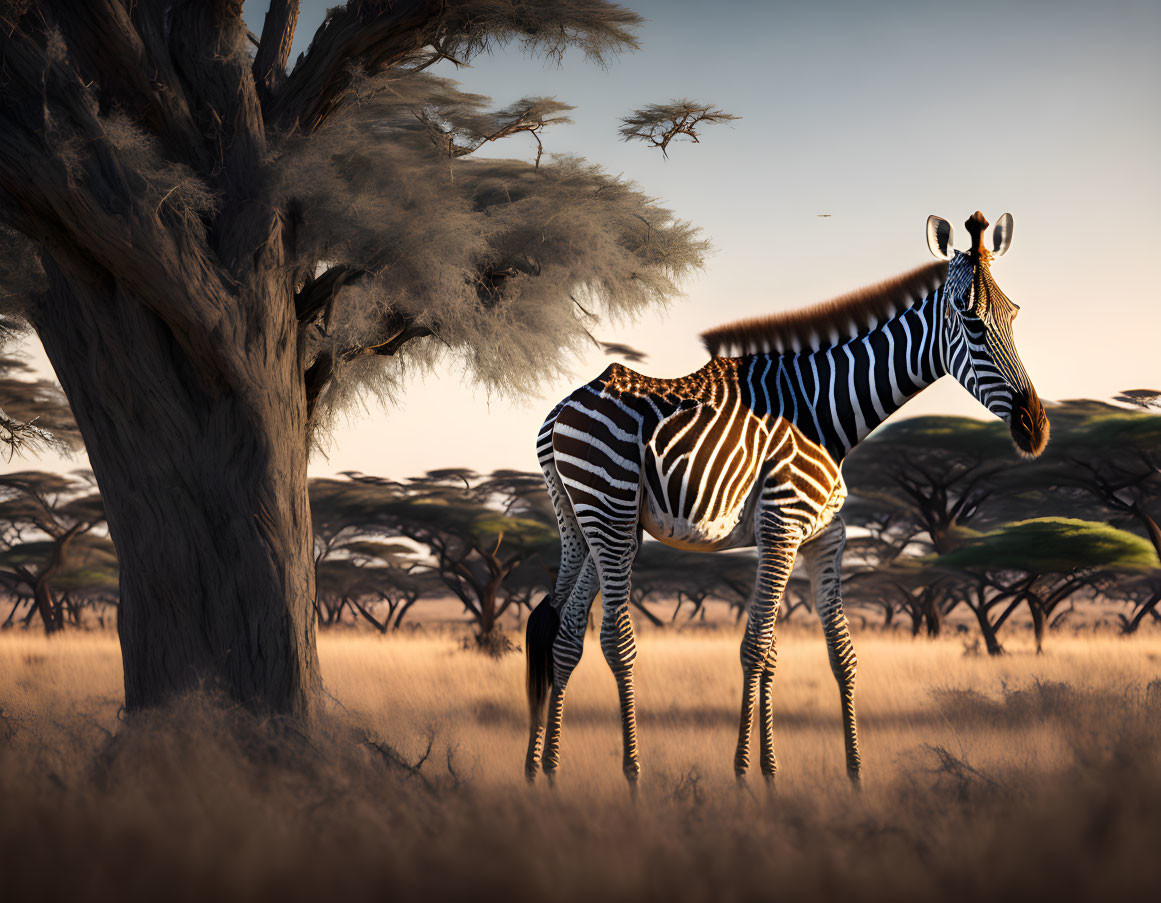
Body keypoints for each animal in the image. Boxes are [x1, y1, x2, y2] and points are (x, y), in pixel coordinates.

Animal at [527, 211, 1054, 789]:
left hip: (586, 523)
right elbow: (756, 646)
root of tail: (561, 408)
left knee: (563, 631)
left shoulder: (823, 535)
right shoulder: (783, 524)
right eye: (973, 324)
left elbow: (833, 651)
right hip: (613, 514)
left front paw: (836, 773)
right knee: (615, 640)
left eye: (1014, 316)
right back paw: (632, 776)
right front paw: (744, 774)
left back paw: (545, 771)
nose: (1035, 428)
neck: (822, 413)